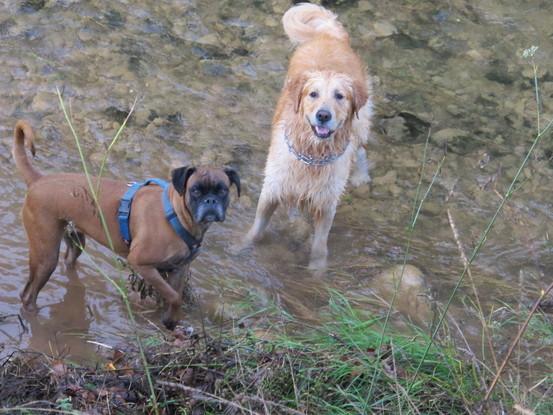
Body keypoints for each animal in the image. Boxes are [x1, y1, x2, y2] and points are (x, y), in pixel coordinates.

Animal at [11, 118, 238, 330]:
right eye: (196, 190)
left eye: (222, 190)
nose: (210, 201)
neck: (176, 214)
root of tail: (39, 180)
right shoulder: (141, 264)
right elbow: (174, 296)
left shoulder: (178, 270)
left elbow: (174, 296)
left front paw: (171, 320)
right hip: (46, 256)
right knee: (28, 294)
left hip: (74, 240)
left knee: (69, 261)